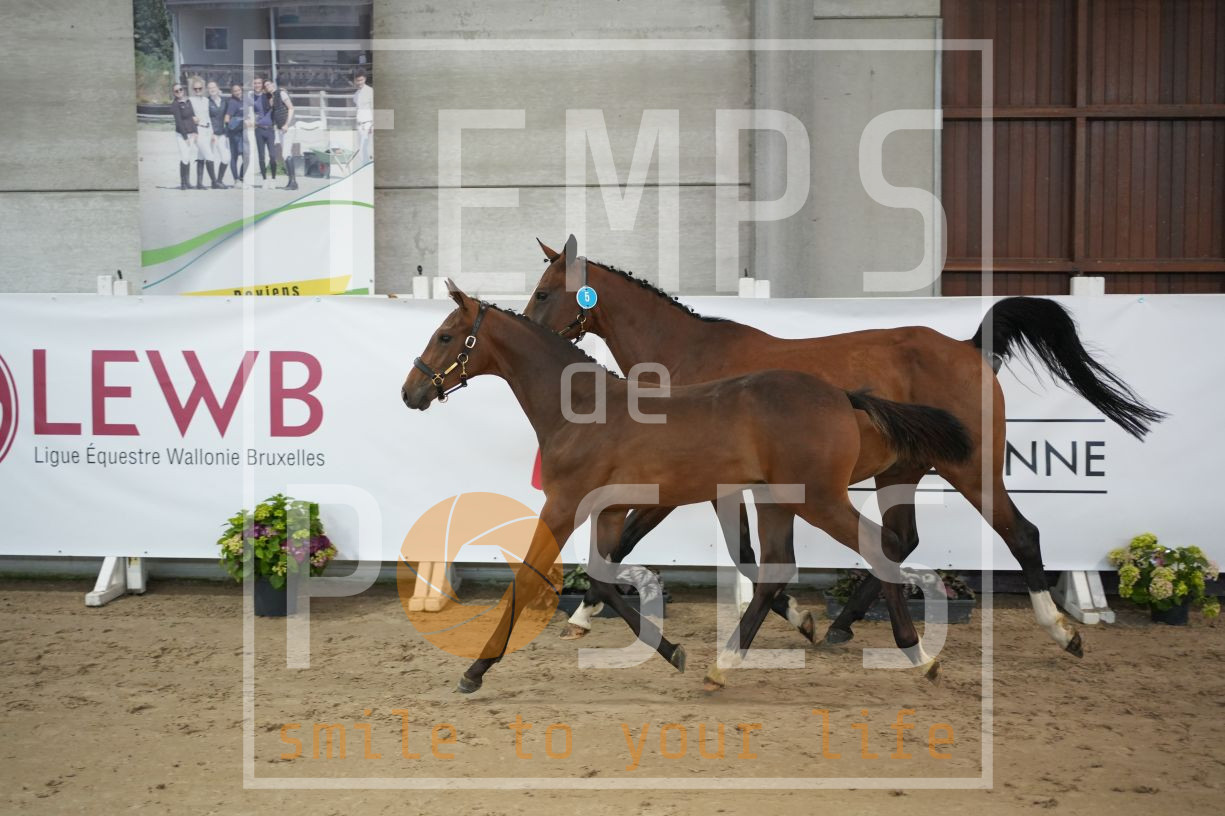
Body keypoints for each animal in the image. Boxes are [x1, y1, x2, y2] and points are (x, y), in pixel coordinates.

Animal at [401, 280, 974, 692]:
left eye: (446, 335)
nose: (410, 392)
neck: (584, 410)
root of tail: (843, 395)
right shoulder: (610, 511)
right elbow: (602, 577)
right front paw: (670, 651)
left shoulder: (563, 506)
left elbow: (528, 579)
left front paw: (474, 671)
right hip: (777, 500)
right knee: (777, 567)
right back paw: (725, 664)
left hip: (818, 498)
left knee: (877, 546)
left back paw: (918, 655)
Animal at [524, 236, 1166, 655]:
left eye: (544, 292)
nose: (523, 330)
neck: (688, 360)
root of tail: (968, 348)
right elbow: (744, 556)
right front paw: (802, 619)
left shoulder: (681, 486)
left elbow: (630, 540)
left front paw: (582, 613)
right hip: (900, 472)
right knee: (899, 541)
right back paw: (843, 626)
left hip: (974, 470)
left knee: (1022, 535)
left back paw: (1063, 631)